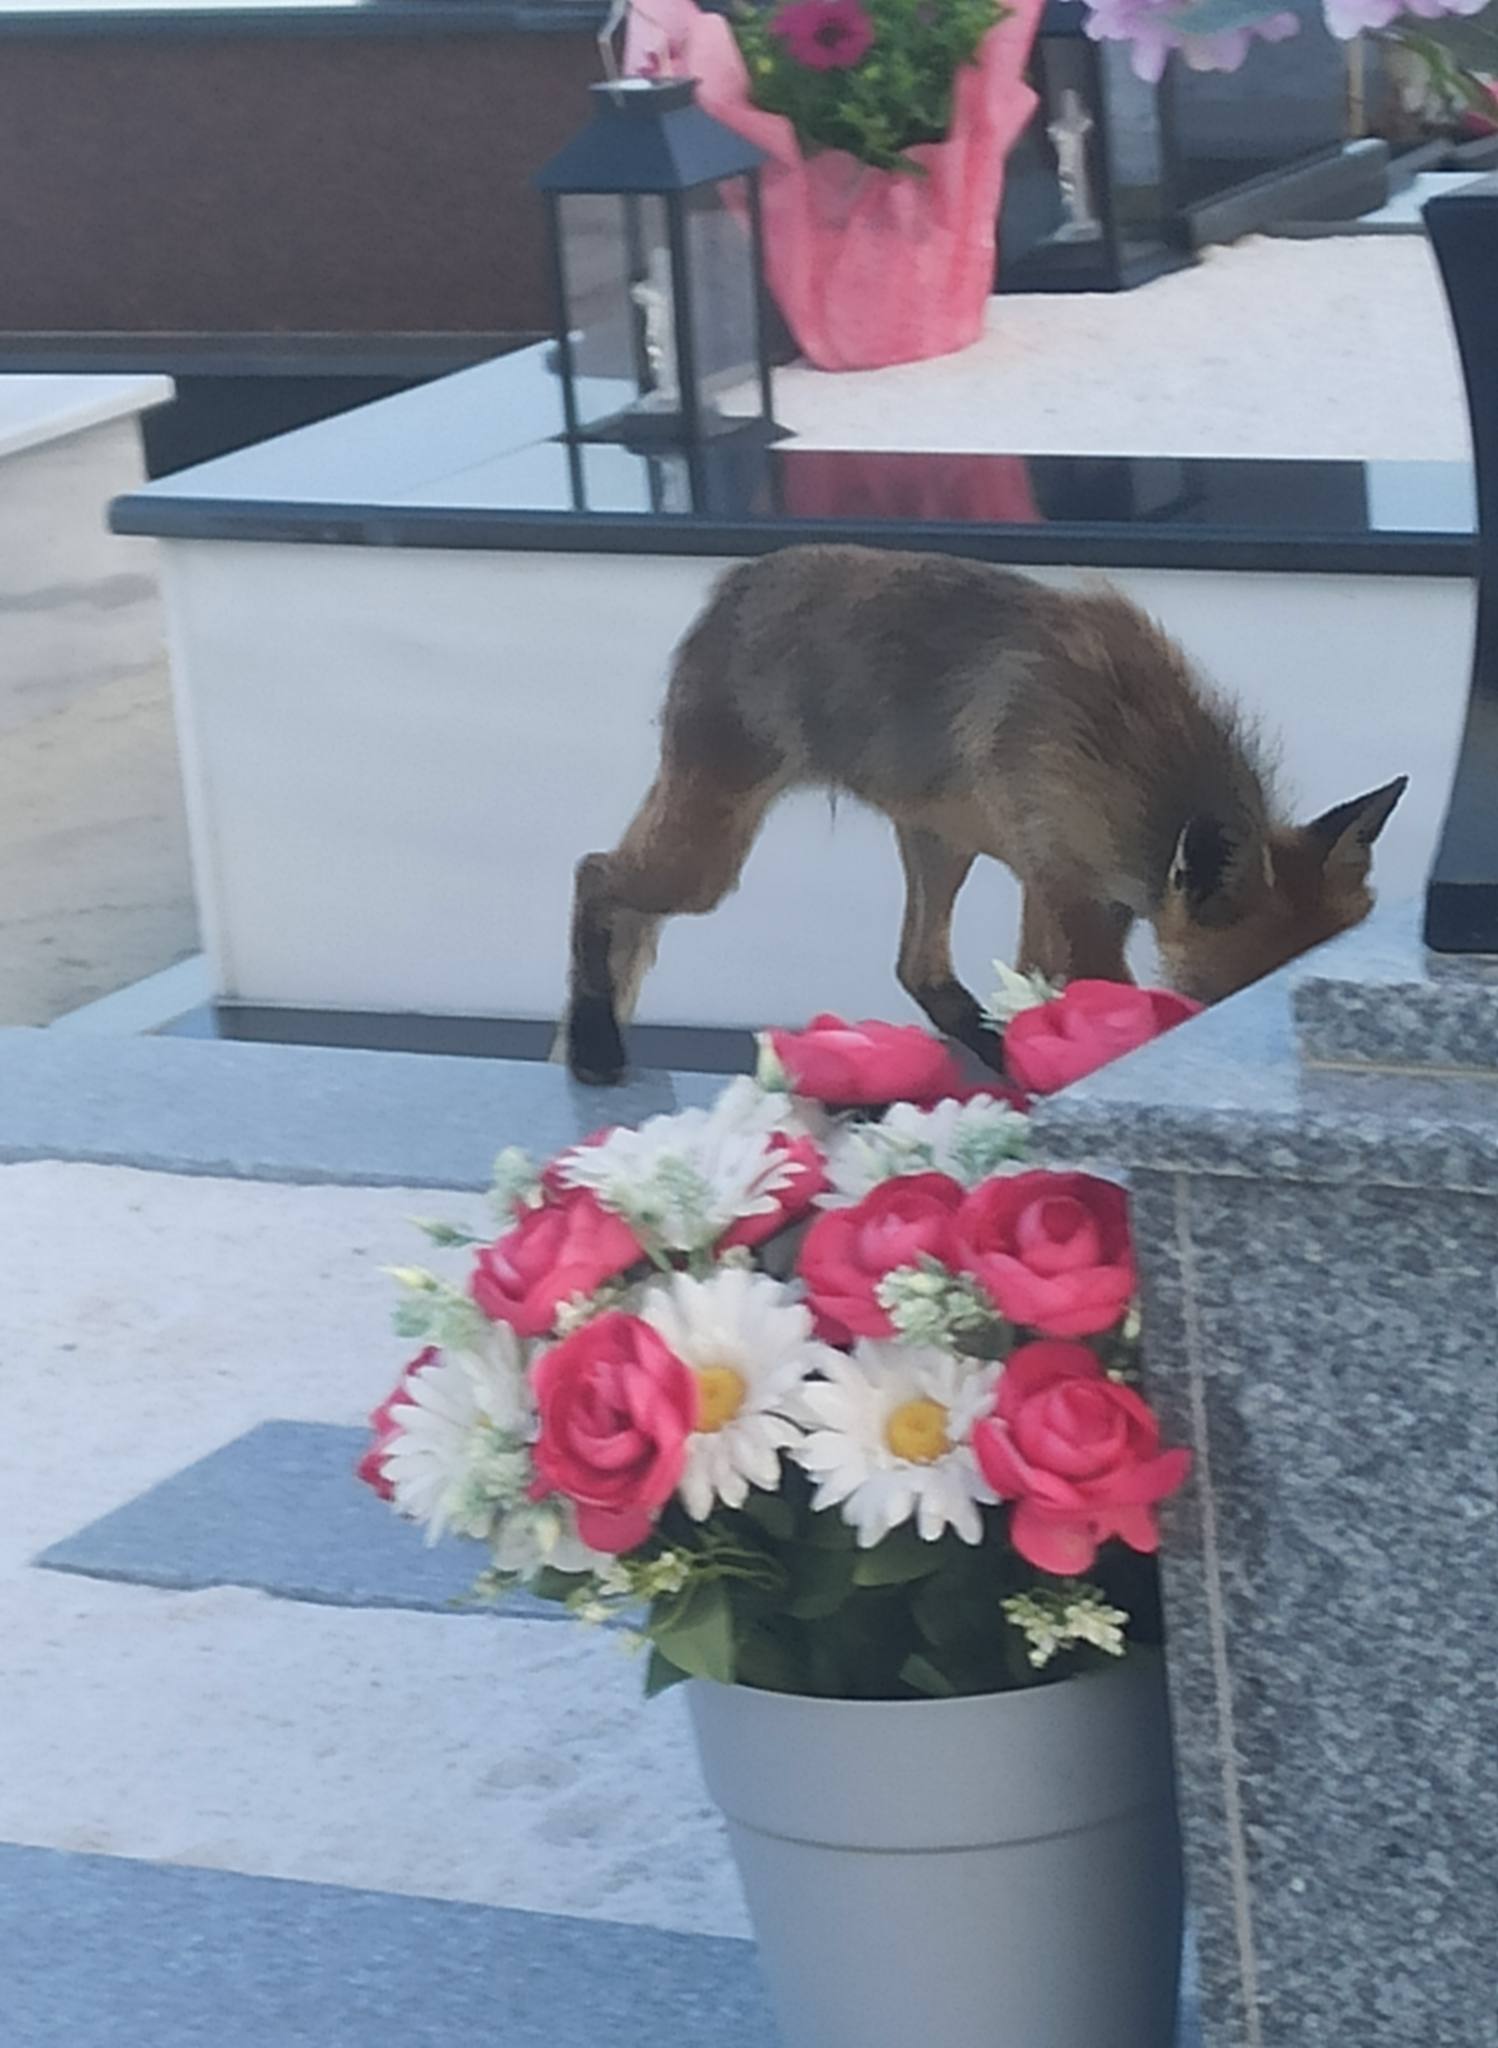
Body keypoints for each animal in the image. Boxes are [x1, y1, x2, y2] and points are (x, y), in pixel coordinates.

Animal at [565, 543, 1407, 1086]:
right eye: (1237, 1005)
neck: (1135, 757)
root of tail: (738, 577)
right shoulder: (1069, 891)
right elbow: (1100, 1000)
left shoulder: (1056, 881)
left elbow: (1040, 989)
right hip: (707, 862)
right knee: (594, 873)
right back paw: (593, 1041)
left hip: (939, 847)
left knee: (920, 971)